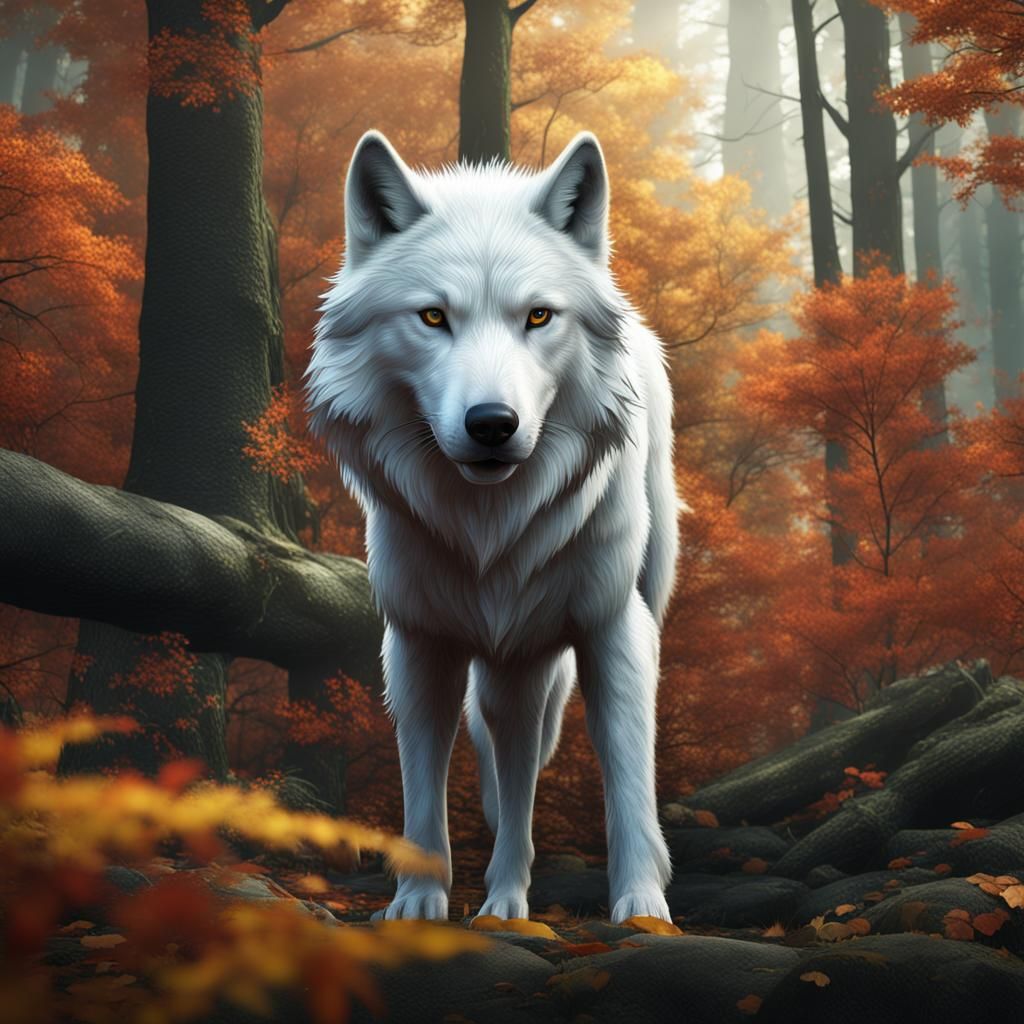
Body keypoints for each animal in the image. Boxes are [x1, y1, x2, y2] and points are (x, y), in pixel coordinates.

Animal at [306, 129, 680, 924]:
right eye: (433, 317)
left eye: (538, 316)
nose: (491, 424)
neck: (491, 526)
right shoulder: (417, 643)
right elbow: (422, 790)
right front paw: (417, 901)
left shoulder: (614, 629)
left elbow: (629, 779)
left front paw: (641, 905)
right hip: (511, 669)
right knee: (509, 770)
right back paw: (503, 895)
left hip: (548, 650)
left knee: (522, 768)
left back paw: (509, 899)